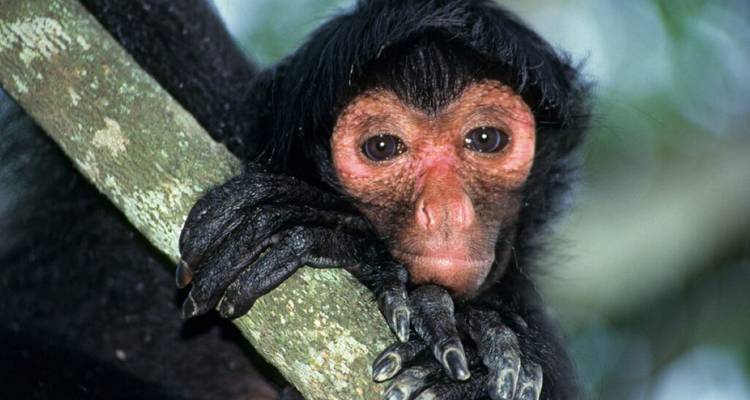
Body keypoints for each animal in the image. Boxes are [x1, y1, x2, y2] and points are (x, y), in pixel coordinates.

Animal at [0, 1, 589, 399]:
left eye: (485, 139)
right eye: (382, 147)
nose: (446, 210)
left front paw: (473, 360)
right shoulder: (195, 82)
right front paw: (331, 233)